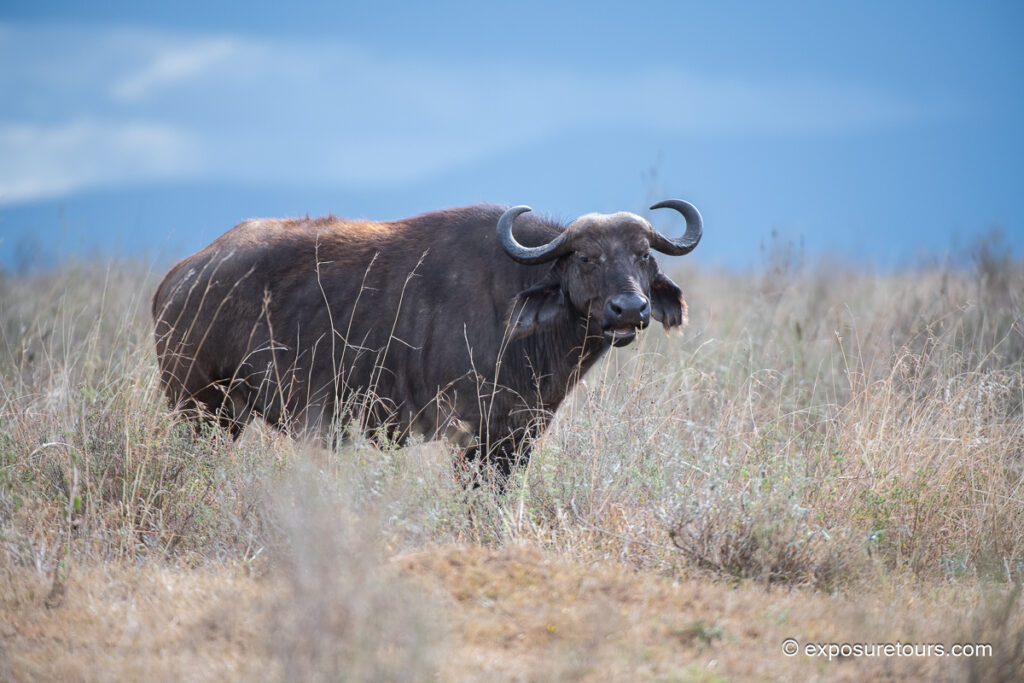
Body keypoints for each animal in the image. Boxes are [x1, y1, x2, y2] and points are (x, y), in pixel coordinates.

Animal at [152, 200, 702, 480]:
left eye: (643, 256)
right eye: (586, 257)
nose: (629, 309)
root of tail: (182, 277)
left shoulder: (519, 436)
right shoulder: (477, 435)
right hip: (198, 408)